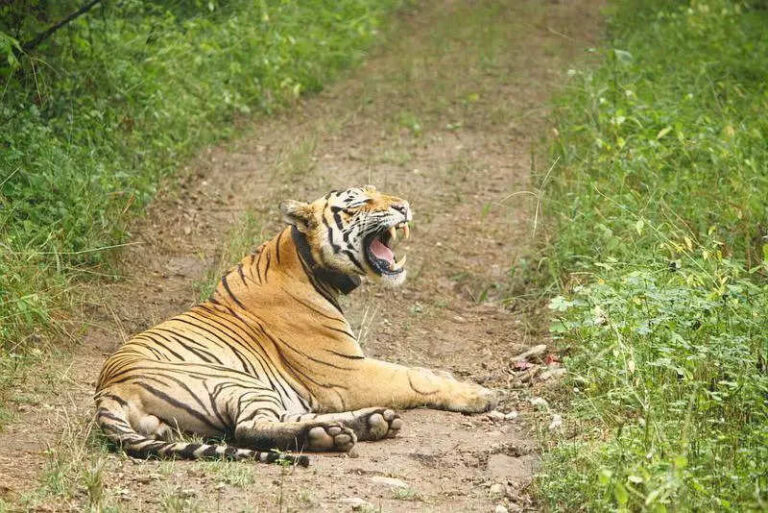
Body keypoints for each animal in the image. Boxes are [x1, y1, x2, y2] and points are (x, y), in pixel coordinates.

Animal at [95, 185, 497, 465]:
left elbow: (420, 369)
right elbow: (413, 378)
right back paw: (331, 434)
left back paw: (363, 424)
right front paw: (478, 394)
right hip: (234, 381)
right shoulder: (347, 373)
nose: (403, 206)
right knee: (248, 428)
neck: (306, 260)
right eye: (358, 202)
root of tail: (106, 392)